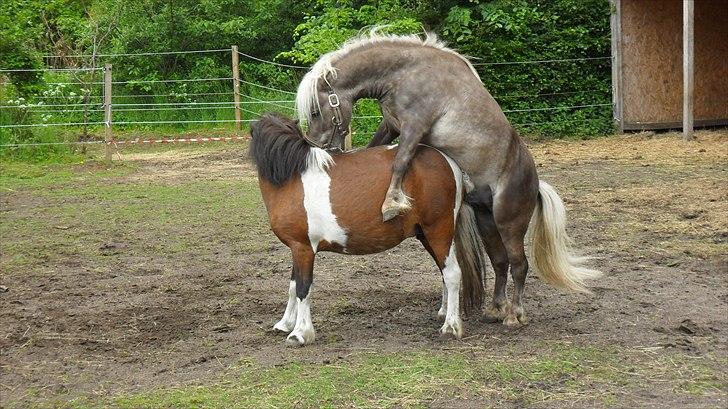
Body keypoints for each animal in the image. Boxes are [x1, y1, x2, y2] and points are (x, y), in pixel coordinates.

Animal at [252, 113, 490, 346]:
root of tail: (449, 163)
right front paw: (285, 324)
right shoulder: (297, 247)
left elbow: (303, 287)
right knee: (444, 271)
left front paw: (300, 333)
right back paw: (444, 313)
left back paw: (451, 327)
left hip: (439, 231)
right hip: (426, 235)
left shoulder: (303, 248)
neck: (292, 177)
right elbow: (293, 286)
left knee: (452, 273)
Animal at [292, 29, 600, 326]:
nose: (319, 148)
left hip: (509, 223)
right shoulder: (392, 125)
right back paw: (495, 309)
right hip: (486, 220)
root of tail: (535, 185)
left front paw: (391, 203)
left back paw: (515, 314)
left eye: (316, 111)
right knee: (500, 262)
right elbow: (376, 147)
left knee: (519, 264)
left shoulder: (415, 127)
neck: (406, 73)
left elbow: (400, 160)